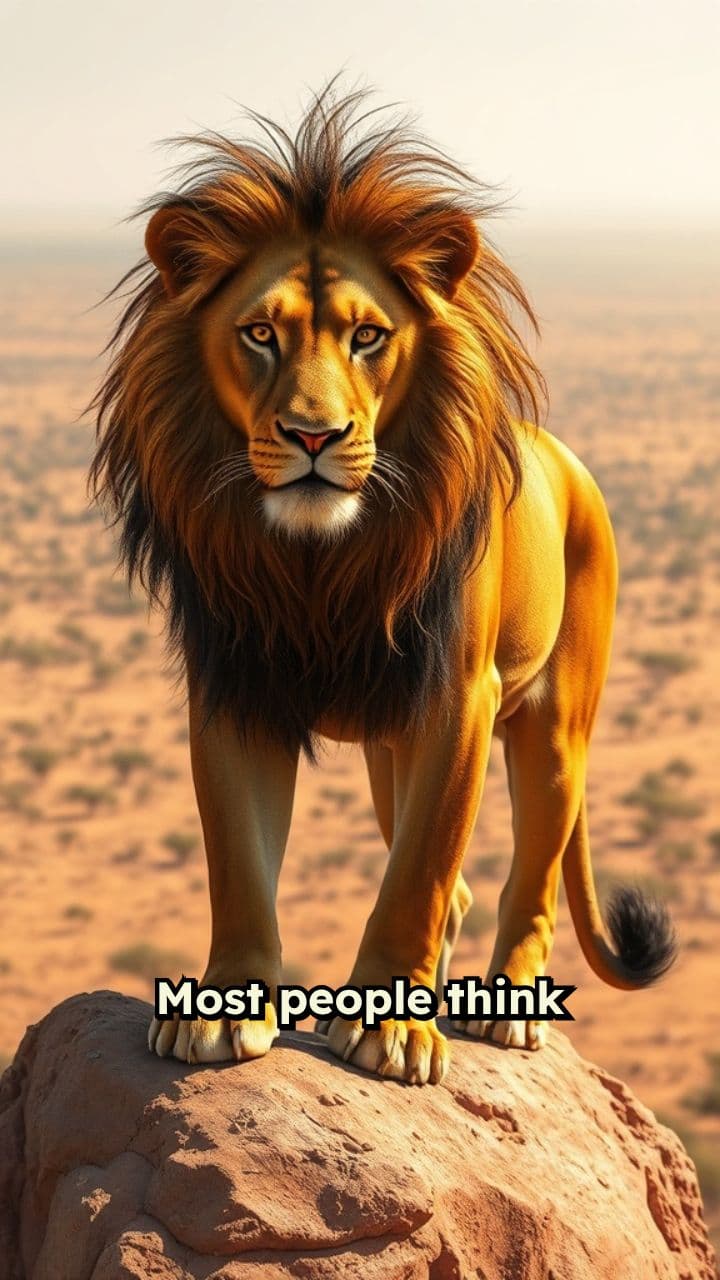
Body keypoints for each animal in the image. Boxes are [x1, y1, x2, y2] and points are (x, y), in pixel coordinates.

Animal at [88, 85, 676, 1085]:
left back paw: (508, 1010)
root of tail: (571, 463)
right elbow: (240, 861)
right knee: (465, 889)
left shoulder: (459, 697)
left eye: (369, 337)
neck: (320, 565)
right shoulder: (236, 684)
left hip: (555, 728)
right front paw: (220, 1011)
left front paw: (393, 1025)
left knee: (527, 878)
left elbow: (419, 873)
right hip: (382, 753)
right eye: (259, 333)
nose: (312, 435)